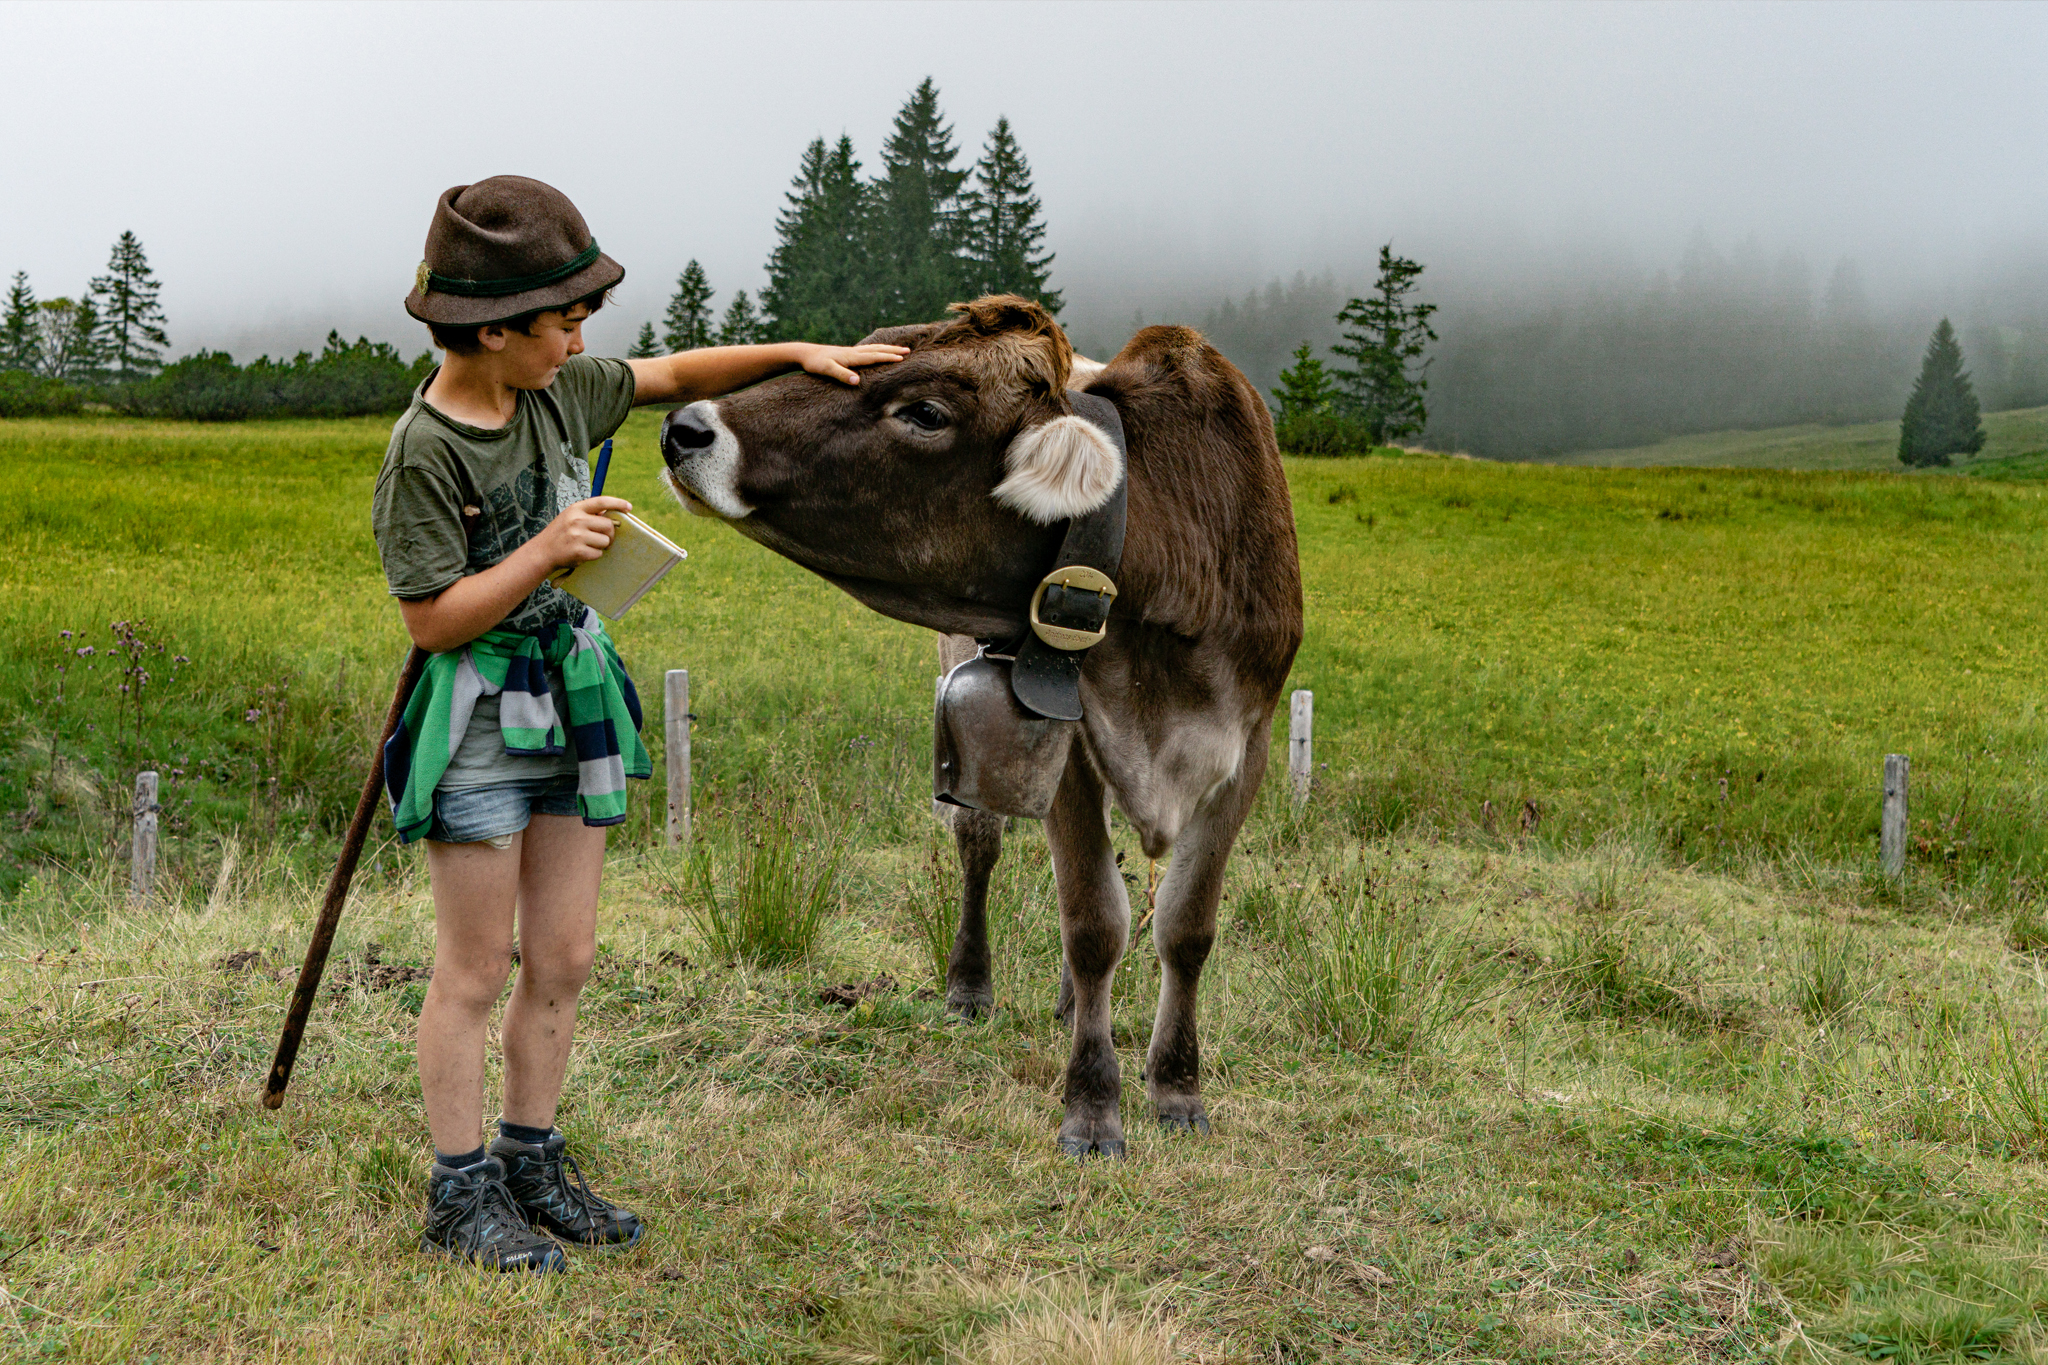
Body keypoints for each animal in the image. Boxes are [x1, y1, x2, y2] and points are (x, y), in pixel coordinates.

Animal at [659, 296, 1303, 1156]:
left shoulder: (1248, 745)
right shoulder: (1064, 738)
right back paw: (971, 985)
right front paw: (1092, 1105)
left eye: (927, 412)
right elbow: (1094, 920)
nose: (685, 427)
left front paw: (1176, 1086)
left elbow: (1186, 926)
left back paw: (1067, 1003)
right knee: (981, 845)